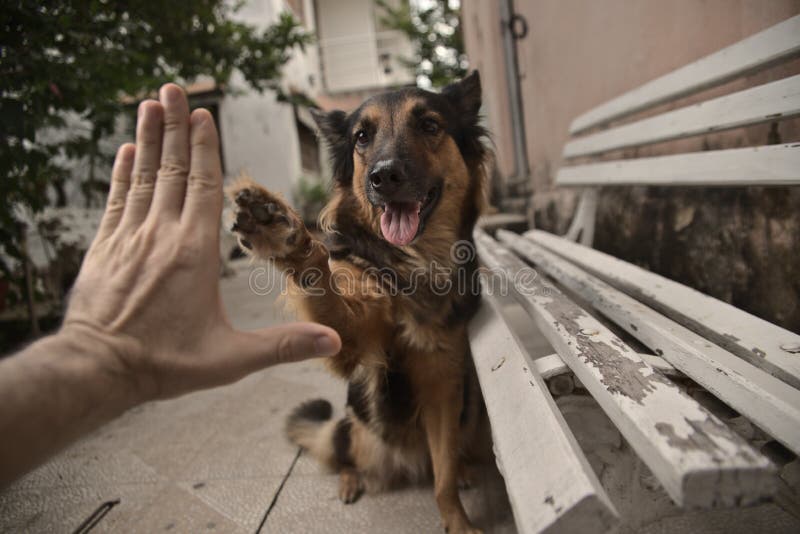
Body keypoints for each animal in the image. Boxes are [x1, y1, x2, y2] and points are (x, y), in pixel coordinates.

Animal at [228, 72, 494, 534]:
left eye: (429, 125)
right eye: (361, 137)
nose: (383, 177)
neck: (413, 261)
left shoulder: (444, 382)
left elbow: (443, 477)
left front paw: (457, 520)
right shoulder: (352, 339)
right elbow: (325, 284)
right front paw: (284, 236)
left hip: (471, 413)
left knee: (446, 459)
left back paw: (461, 470)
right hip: (353, 426)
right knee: (344, 456)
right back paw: (351, 481)